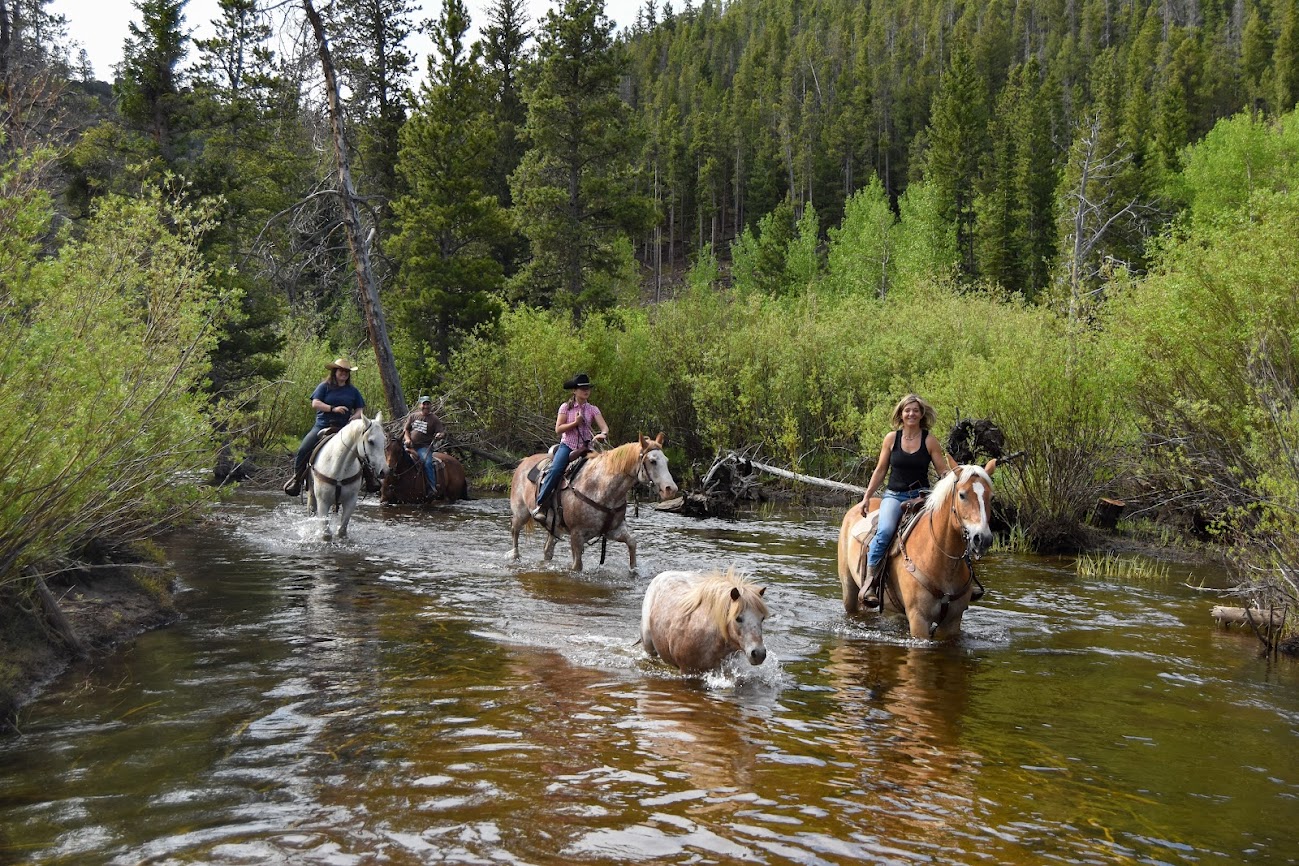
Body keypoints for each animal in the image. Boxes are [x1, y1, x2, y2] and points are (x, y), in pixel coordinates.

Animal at [304, 413, 388, 541]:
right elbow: (326, 534)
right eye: (371, 441)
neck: (338, 468)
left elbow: (342, 531)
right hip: (311, 493)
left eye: (384, 440)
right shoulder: (323, 502)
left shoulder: (350, 502)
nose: (385, 471)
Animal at [508, 433, 678, 572]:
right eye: (652, 461)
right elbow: (577, 566)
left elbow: (632, 543)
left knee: (547, 550)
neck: (600, 486)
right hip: (521, 513)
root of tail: (524, 461)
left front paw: (633, 570)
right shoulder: (576, 535)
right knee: (515, 531)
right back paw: (515, 556)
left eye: (666, 460)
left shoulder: (614, 530)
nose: (671, 489)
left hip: (554, 527)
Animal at [837, 460, 997, 640]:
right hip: (849, 589)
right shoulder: (918, 619)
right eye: (962, 495)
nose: (983, 538)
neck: (941, 559)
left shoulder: (952, 621)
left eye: (991, 497)